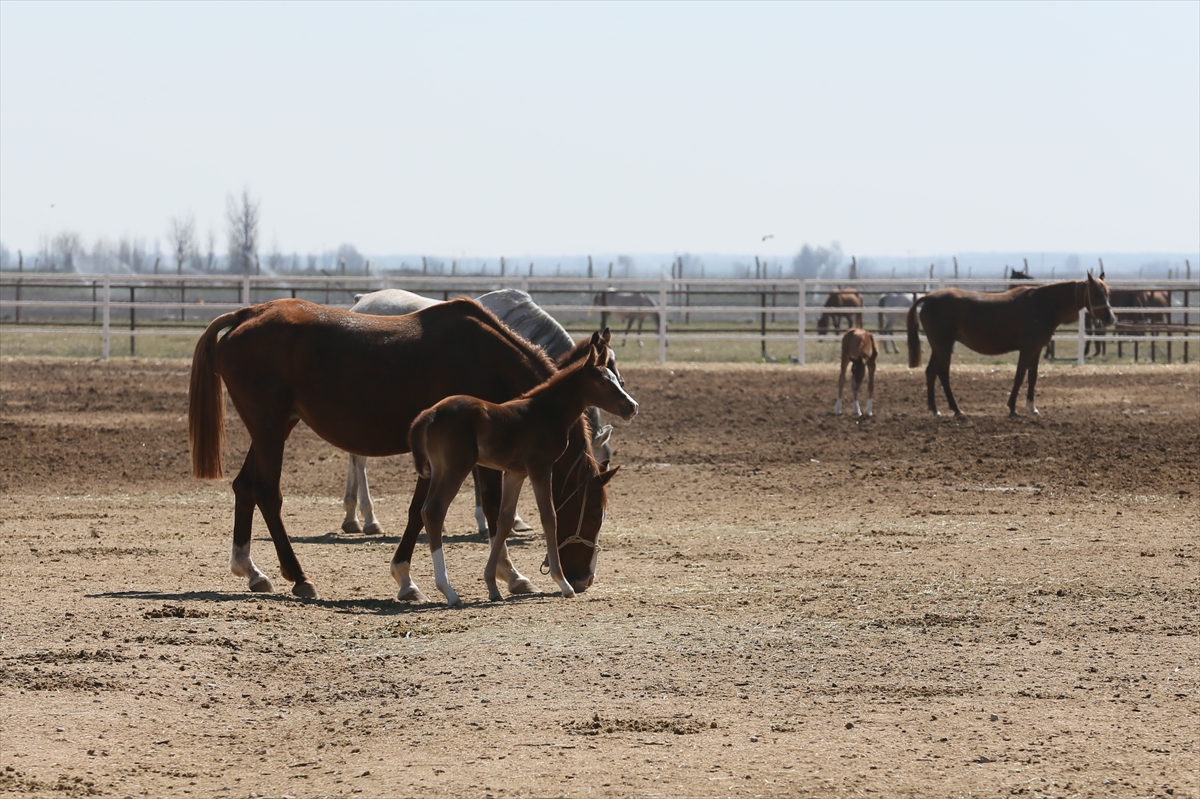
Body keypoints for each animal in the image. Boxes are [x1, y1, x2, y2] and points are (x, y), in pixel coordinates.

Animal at [408, 331, 638, 604]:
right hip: (456, 468)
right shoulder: (540, 467)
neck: (545, 411)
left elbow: (504, 520)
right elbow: (549, 517)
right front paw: (563, 584)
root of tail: (428, 414)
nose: (632, 406)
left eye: (616, 379)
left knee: (425, 511)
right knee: (435, 511)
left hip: (439, 470)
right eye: (604, 382)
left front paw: (493, 584)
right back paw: (449, 591)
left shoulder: (515, 473)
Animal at [907, 271, 1113, 417]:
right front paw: (1013, 408)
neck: (1041, 304)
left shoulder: (1036, 349)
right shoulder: (1027, 349)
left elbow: (1033, 376)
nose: (1110, 318)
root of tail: (929, 297)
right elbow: (1020, 376)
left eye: (1108, 292)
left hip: (939, 347)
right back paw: (956, 410)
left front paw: (1032, 407)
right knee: (942, 374)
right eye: (1096, 293)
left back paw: (936, 410)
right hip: (943, 346)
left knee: (931, 373)